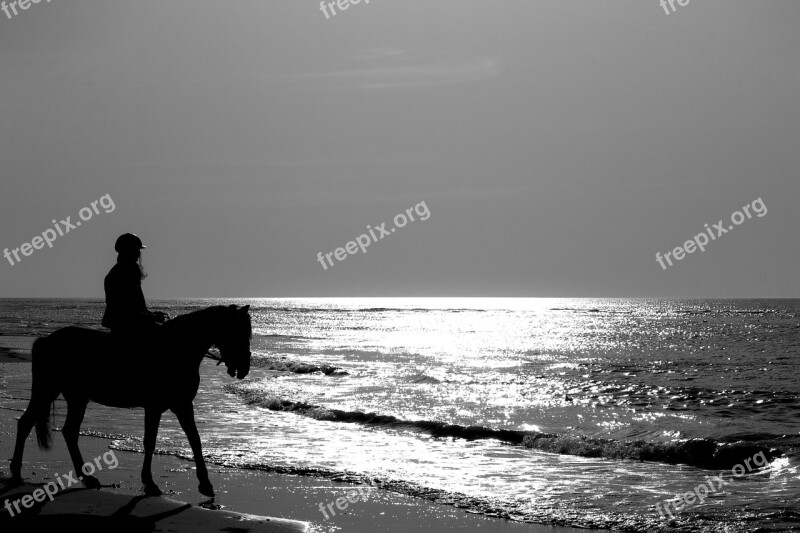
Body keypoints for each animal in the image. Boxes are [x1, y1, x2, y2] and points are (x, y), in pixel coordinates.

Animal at [7, 304, 252, 498]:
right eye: (237, 332)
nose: (244, 368)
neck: (175, 349)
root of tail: (47, 340)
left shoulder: (182, 405)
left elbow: (195, 440)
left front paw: (205, 484)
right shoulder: (154, 407)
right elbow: (150, 442)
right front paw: (150, 483)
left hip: (76, 397)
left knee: (67, 431)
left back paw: (86, 478)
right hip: (48, 391)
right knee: (28, 423)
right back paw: (17, 473)